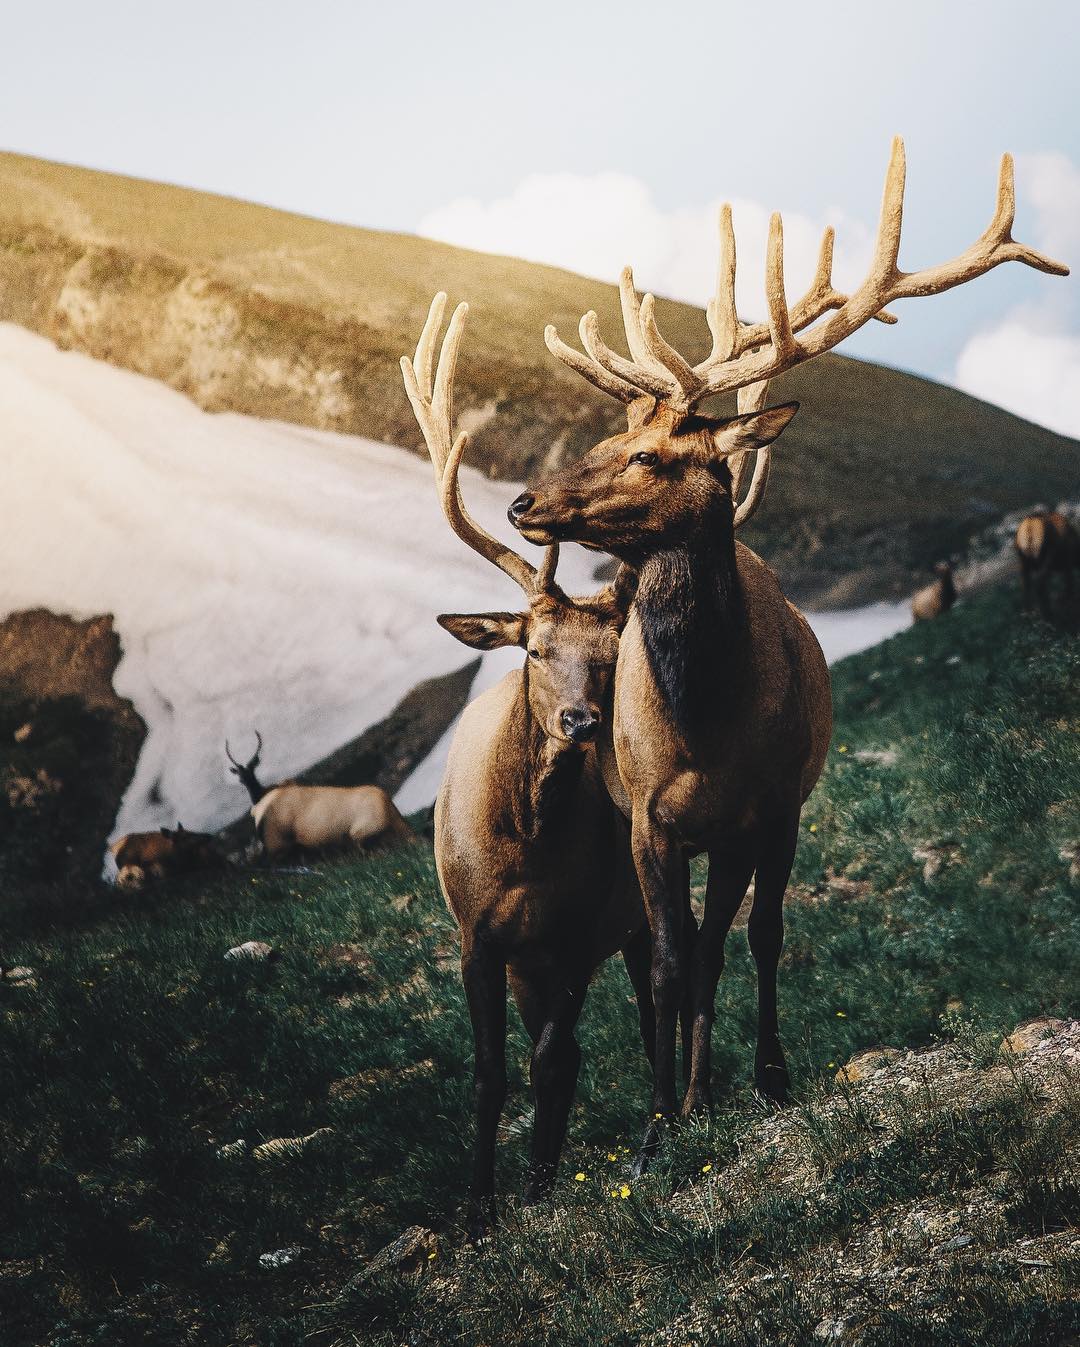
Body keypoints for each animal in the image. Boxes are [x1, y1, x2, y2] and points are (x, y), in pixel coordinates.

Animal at [398, 297, 649, 1233]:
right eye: (535, 648)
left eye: (611, 658)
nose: (582, 720)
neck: (527, 850)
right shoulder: (477, 937)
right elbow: (490, 1073)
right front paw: (477, 1209)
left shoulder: (578, 933)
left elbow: (549, 1060)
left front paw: (535, 1192)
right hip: (526, 963)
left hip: (634, 913)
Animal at [506, 139, 1066, 1169]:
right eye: (606, 434)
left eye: (649, 456)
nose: (525, 502)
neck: (707, 726)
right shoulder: (650, 820)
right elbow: (670, 960)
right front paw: (656, 1126)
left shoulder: (774, 810)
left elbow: (759, 939)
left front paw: (760, 1080)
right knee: (671, 952)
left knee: (722, 943)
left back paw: (714, 1087)